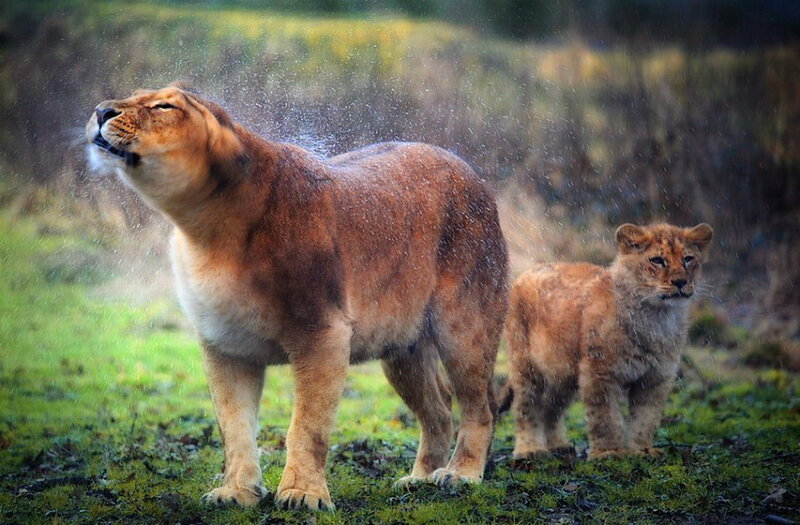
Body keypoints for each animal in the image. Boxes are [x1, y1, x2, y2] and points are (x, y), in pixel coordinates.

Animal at [86, 84, 508, 510]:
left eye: (163, 106)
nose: (101, 111)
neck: (206, 229)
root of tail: (471, 172)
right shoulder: (225, 344)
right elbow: (234, 427)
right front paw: (236, 492)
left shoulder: (322, 331)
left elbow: (307, 425)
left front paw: (303, 494)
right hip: (403, 346)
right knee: (438, 408)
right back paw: (419, 480)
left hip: (465, 325)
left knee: (480, 406)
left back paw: (460, 475)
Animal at [502, 223, 713, 460]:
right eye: (657, 260)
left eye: (688, 258)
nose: (680, 282)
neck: (657, 316)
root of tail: (527, 272)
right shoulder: (599, 373)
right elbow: (605, 417)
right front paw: (608, 452)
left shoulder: (656, 378)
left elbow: (645, 419)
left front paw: (641, 450)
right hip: (526, 365)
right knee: (526, 406)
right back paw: (530, 450)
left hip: (562, 371)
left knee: (552, 406)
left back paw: (558, 445)